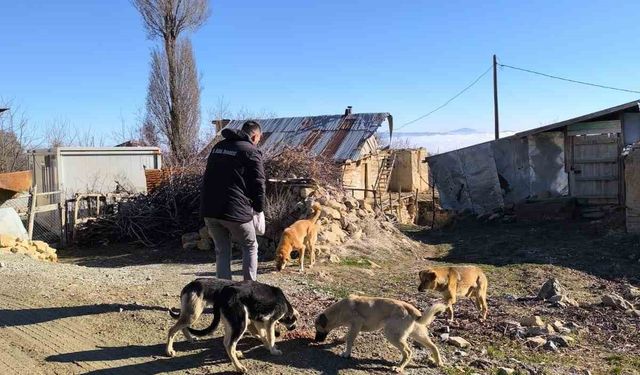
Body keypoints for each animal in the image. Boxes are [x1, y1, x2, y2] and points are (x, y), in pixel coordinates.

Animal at [166, 280, 298, 374]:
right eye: (293, 321)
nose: (294, 328)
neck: (285, 304)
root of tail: (190, 284)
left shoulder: (257, 321)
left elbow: (263, 335)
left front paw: (268, 345)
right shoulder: (269, 321)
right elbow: (269, 337)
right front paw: (273, 349)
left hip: (224, 321)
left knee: (226, 342)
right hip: (232, 322)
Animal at [314, 296, 444, 374]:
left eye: (317, 330)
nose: (316, 341)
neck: (340, 310)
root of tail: (411, 309)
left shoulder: (356, 324)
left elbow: (350, 340)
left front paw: (346, 353)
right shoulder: (353, 328)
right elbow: (347, 336)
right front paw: (340, 340)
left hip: (392, 335)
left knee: (408, 352)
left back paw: (399, 367)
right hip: (417, 335)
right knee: (433, 346)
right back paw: (438, 362)